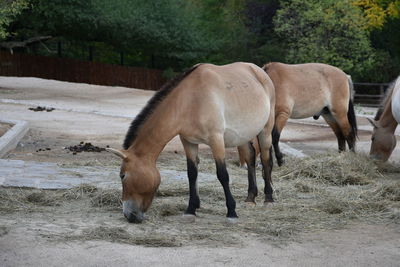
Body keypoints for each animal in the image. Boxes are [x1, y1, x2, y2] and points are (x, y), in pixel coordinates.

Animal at [106, 62, 276, 224]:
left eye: (122, 175)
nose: (129, 215)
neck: (191, 101)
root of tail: (260, 72)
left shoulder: (216, 140)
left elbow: (222, 175)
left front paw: (231, 213)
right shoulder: (188, 142)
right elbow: (192, 173)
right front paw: (191, 210)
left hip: (265, 131)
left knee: (265, 159)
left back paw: (268, 198)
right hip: (243, 136)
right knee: (250, 158)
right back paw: (250, 198)